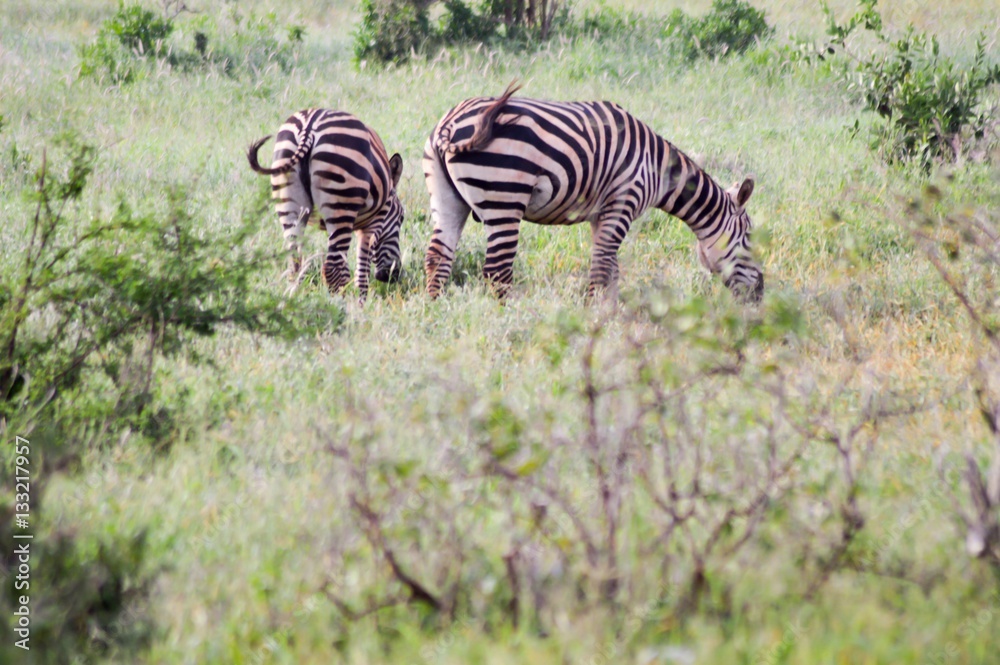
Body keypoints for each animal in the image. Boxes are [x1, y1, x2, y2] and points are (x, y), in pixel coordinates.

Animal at [247, 109, 404, 301]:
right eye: (401, 218)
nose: (392, 276)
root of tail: (308, 128)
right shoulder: (372, 223)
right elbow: (362, 271)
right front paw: (361, 302)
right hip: (341, 205)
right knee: (332, 269)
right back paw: (337, 304)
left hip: (289, 203)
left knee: (295, 264)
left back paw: (293, 301)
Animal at [422, 84, 764, 301]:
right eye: (749, 239)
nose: (760, 295)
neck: (658, 169)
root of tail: (448, 125)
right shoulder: (623, 202)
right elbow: (602, 268)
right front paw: (593, 320)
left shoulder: (602, 215)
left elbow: (611, 269)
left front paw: (609, 315)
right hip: (504, 197)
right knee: (497, 271)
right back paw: (505, 322)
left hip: (446, 197)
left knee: (438, 256)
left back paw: (435, 313)